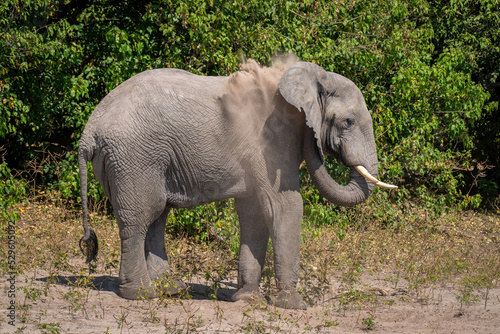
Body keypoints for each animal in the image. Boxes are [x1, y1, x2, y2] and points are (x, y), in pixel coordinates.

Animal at [79, 60, 398, 310]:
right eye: (348, 121)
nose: (318, 141)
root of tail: (89, 130)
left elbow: (254, 213)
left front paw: (245, 299)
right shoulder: (272, 142)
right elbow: (285, 206)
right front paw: (294, 306)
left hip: (136, 160)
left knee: (157, 216)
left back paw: (172, 288)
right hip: (133, 157)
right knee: (141, 217)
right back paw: (142, 295)